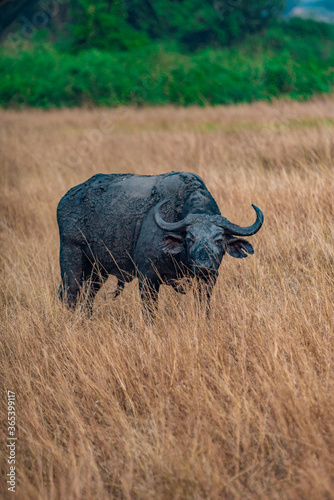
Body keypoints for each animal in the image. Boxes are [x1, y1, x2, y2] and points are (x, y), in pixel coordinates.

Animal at [56, 172, 264, 316]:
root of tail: (67, 197)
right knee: (69, 294)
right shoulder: (147, 278)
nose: (203, 266)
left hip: (98, 270)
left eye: (219, 239)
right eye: (189, 238)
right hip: (71, 257)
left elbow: (203, 309)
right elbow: (150, 313)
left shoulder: (207, 282)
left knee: (87, 296)